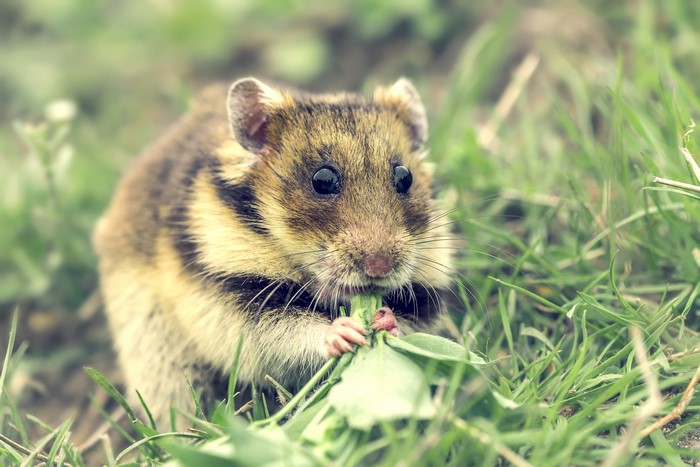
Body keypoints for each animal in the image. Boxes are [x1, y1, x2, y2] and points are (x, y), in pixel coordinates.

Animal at [93, 77, 456, 428]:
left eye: (405, 177)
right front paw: (346, 331)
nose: (380, 267)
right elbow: (293, 333)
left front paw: (383, 320)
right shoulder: (237, 302)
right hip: (158, 353)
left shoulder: (426, 297)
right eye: (322, 179)